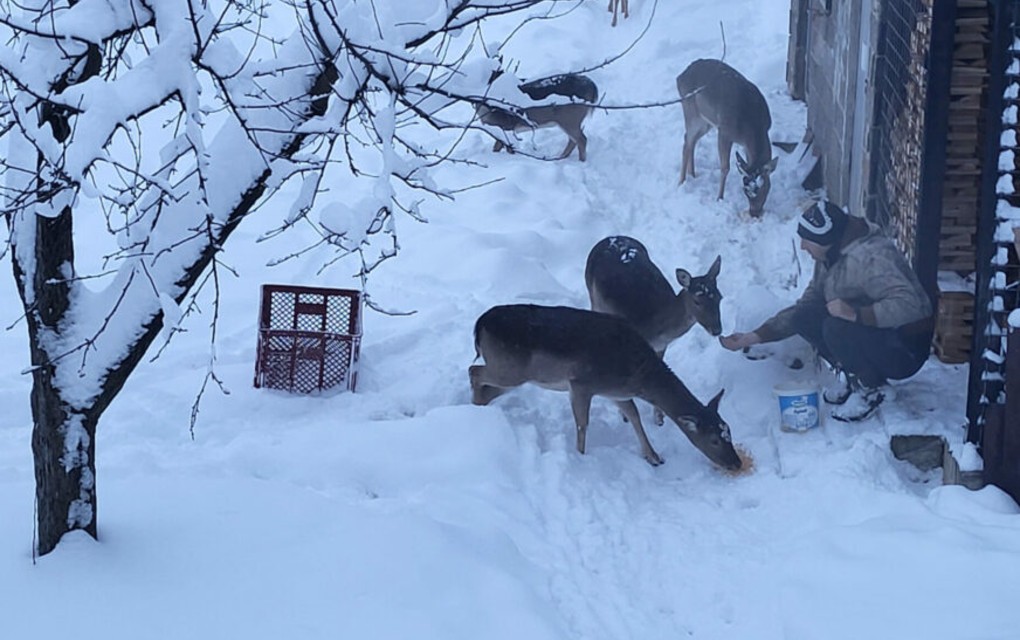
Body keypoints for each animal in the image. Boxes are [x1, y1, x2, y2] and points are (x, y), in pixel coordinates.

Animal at [469, 302, 742, 471]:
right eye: (714, 440)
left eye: (729, 430)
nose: (736, 463)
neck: (638, 375)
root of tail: (478, 325)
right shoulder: (581, 383)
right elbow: (583, 423)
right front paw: (580, 458)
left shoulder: (615, 392)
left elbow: (633, 414)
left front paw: (653, 457)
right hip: (510, 369)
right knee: (474, 372)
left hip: (514, 374)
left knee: (484, 386)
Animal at [587, 235, 722, 426]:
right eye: (697, 301)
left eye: (719, 297)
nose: (717, 330)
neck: (657, 327)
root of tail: (609, 238)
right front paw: (624, 415)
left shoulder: (661, 346)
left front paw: (659, 417)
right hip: (593, 296)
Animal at [677, 60, 779, 220]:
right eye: (745, 190)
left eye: (763, 187)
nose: (754, 213)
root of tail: (679, 77)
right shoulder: (724, 132)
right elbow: (725, 168)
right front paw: (719, 198)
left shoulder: (745, 143)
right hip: (690, 111)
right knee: (687, 140)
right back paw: (681, 182)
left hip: (705, 121)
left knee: (692, 141)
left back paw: (692, 174)